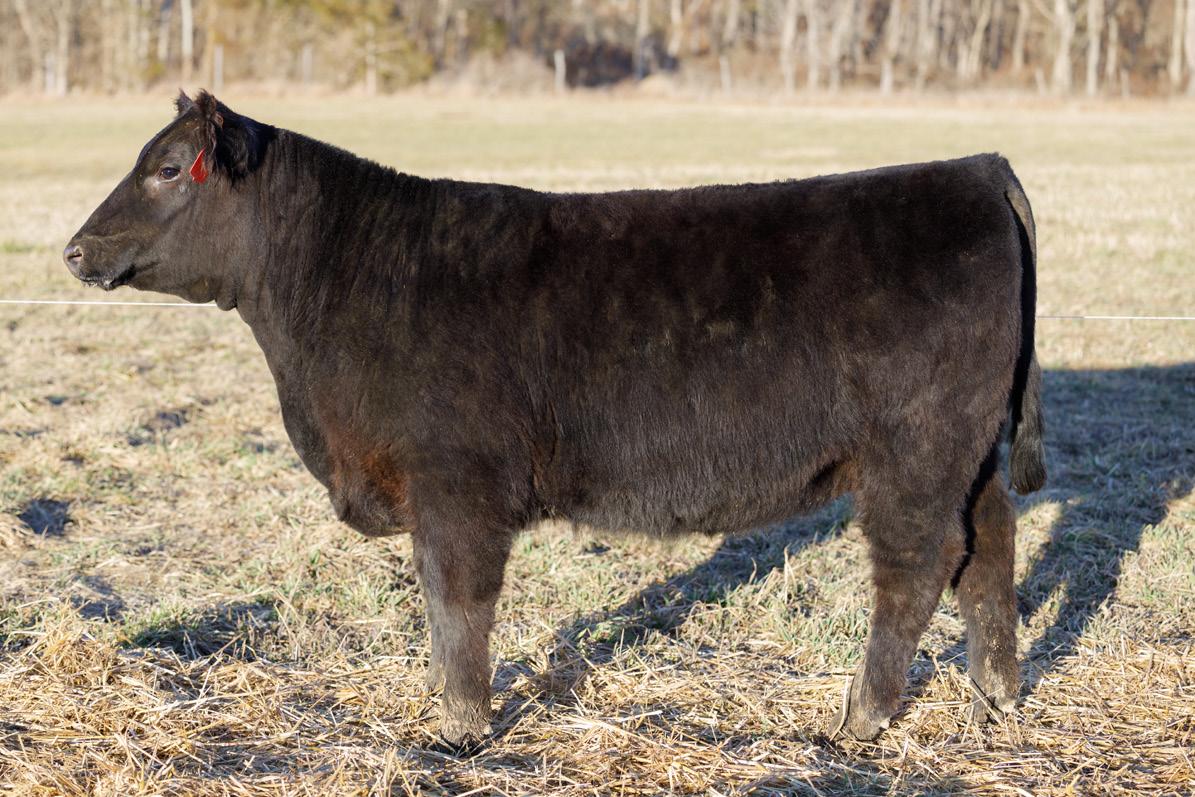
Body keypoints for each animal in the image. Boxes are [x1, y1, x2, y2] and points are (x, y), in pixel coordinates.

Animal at [65, 91, 1046, 747]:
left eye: (167, 169)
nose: (75, 249)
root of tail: (977, 169)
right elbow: (440, 605)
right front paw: (442, 703)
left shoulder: (456, 485)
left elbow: (457, 601)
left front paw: (460, 727)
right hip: (968, 453)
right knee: (989, 547)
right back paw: (995, 693)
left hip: (914, 452)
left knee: (918, 565)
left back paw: (857, 718)